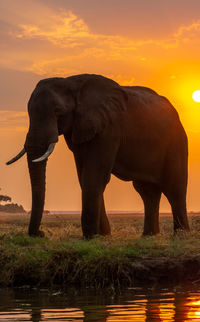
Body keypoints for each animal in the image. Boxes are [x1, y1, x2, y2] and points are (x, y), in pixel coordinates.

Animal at [6, 74, 189, 238]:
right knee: (147, 191)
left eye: (58, 112)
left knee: (174, 188)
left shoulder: (109, 128)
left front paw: (90, 236)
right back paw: (148, 236)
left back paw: (181, 235)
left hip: (176, 142)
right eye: (28, 112)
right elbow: (85, 177)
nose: (41, 233)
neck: (71, 83)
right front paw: (102, 235)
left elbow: (94, 175)